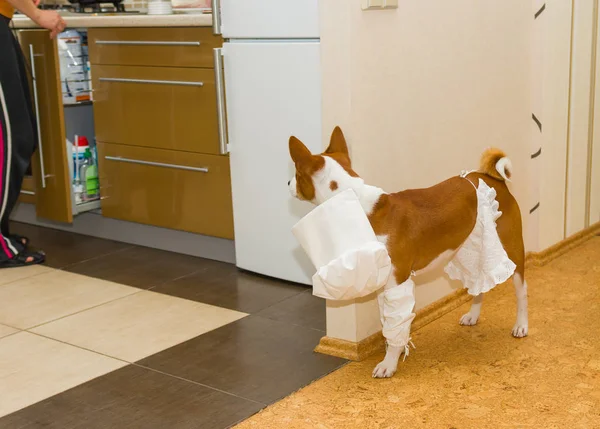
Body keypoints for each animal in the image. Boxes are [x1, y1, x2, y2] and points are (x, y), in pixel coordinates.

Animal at [288, 125, 528, 376]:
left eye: (296, 173)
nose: (287, 184)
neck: (359, 206)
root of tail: (491, 177)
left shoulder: (397, 283)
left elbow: (396, 324)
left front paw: (389, 363)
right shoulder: (384, 284)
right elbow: (389, 324)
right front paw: (391, 350)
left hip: (513, 249)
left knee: (522, 291)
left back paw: (521, 325)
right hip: (471, 248)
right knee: (479, 283)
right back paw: (473, 315)